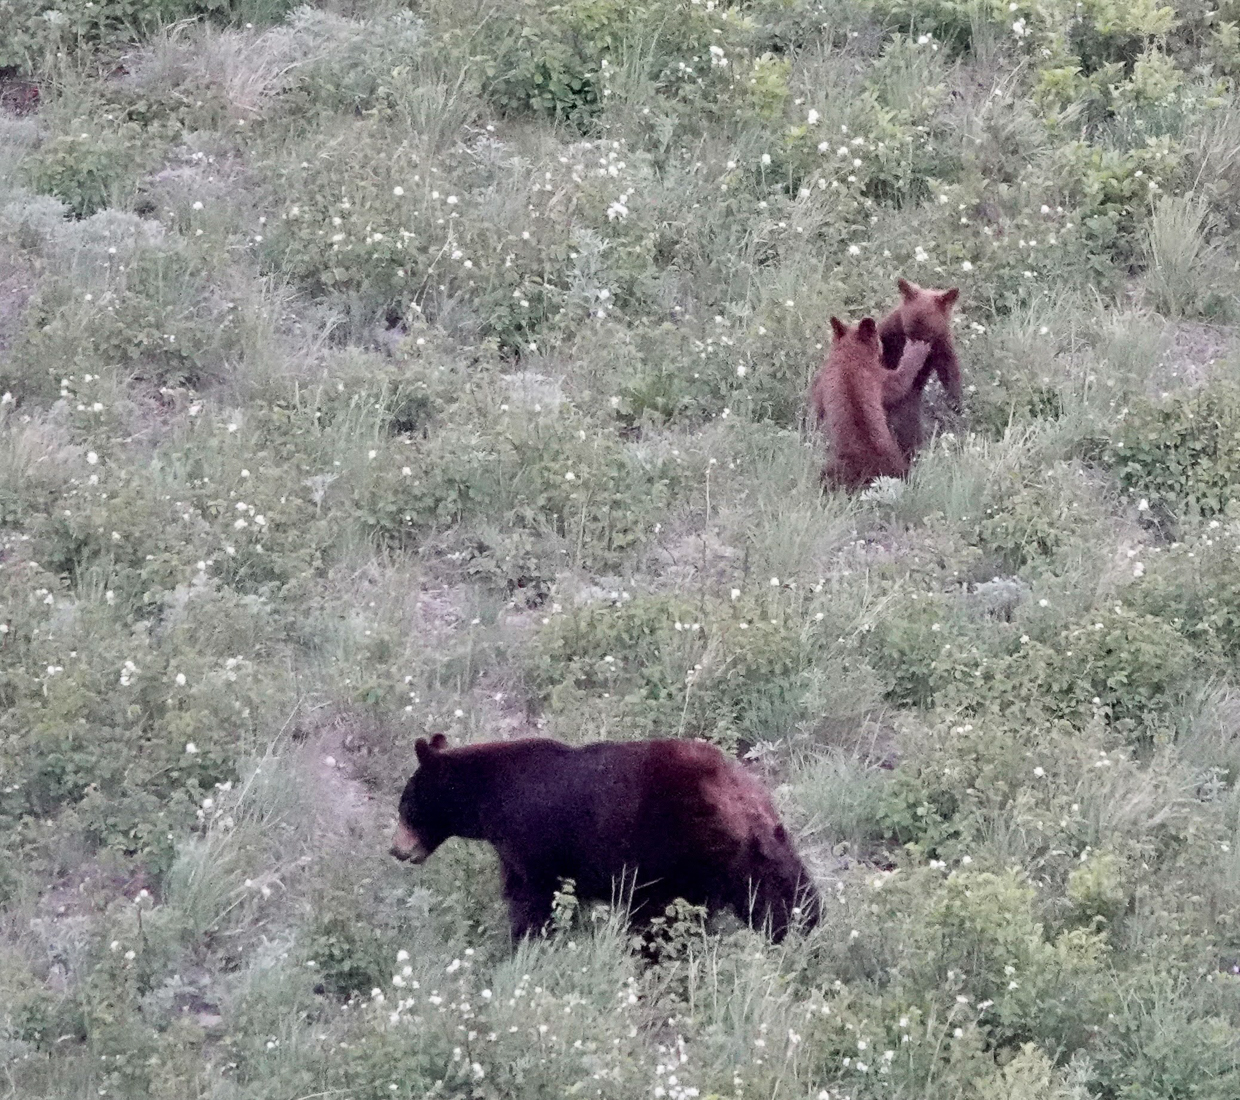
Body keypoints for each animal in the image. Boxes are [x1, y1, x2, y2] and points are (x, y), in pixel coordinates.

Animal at [390, 734, 820, 944]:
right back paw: (800, 929)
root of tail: (742, 799)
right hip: (759, 851)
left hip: (679, 854)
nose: (396, 849)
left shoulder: (532, 840)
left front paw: (524, 942)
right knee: (784, 894)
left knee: (662, 918)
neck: (491, 798)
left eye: (405, 805)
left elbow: (533, 895)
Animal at [808, 315, 931, 491]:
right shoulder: (877, 376)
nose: (882, 348)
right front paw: (917, 349)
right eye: (878, 340)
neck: (849, 356)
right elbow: (899, 382)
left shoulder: (823, 381)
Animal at [878, 277, 963, 461]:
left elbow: (948, 369)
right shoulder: (891, 331)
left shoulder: (940, 344)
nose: (914, 351)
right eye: (909, 329)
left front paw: (956, 402)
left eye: (927, 332)